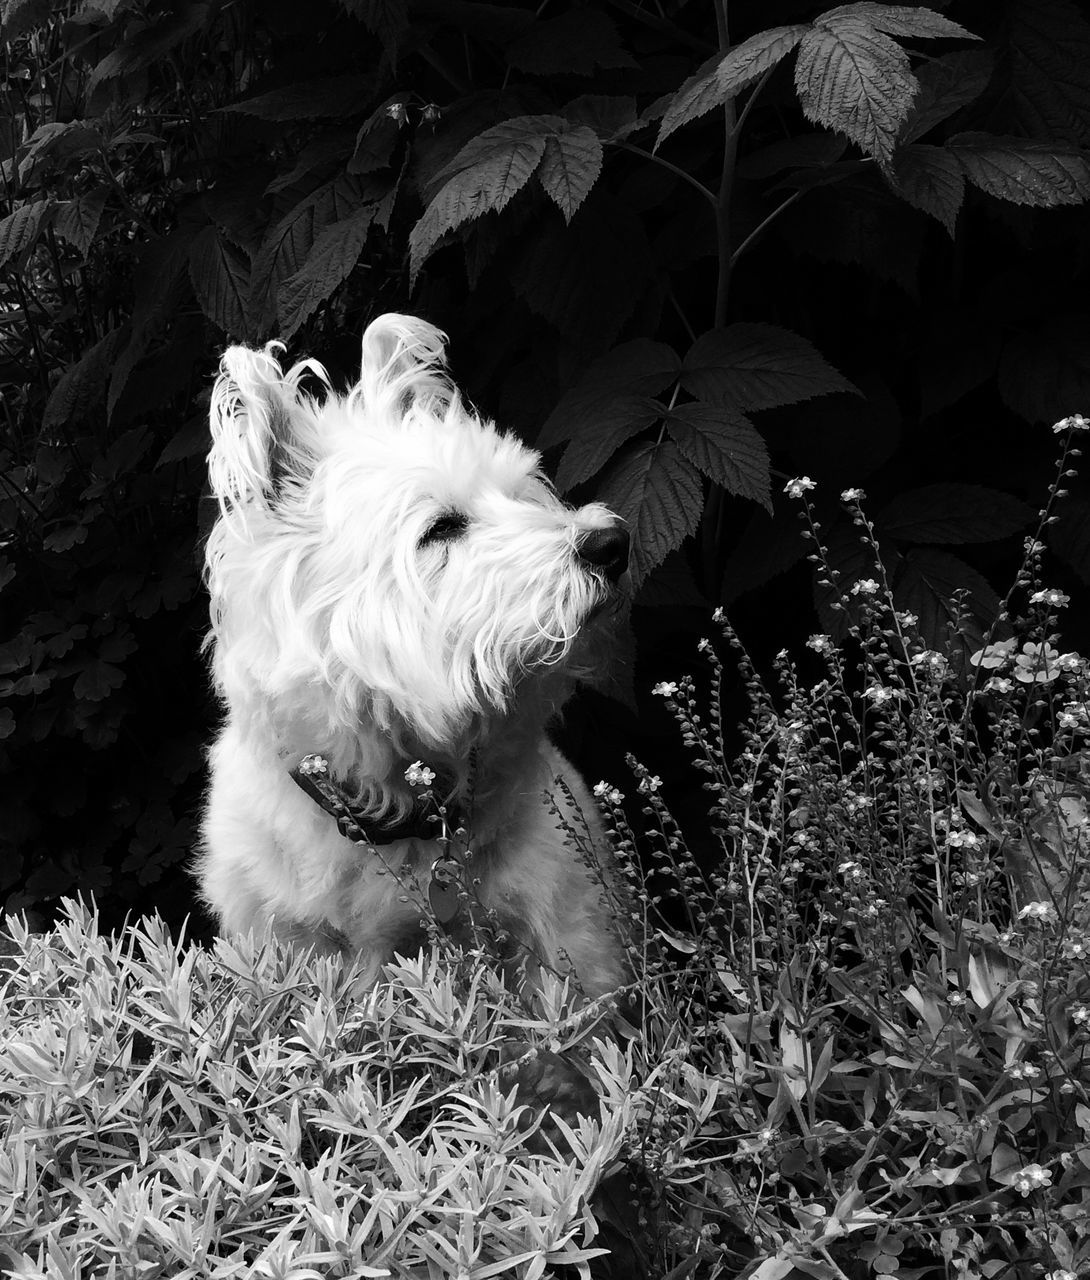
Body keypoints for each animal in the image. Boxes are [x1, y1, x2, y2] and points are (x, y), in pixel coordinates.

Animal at [195, 314, 629, 993]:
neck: (401, 814)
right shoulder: (287, 944)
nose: (613, 543)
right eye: (442, 528)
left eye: (524, 494)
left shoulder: (569, 943)